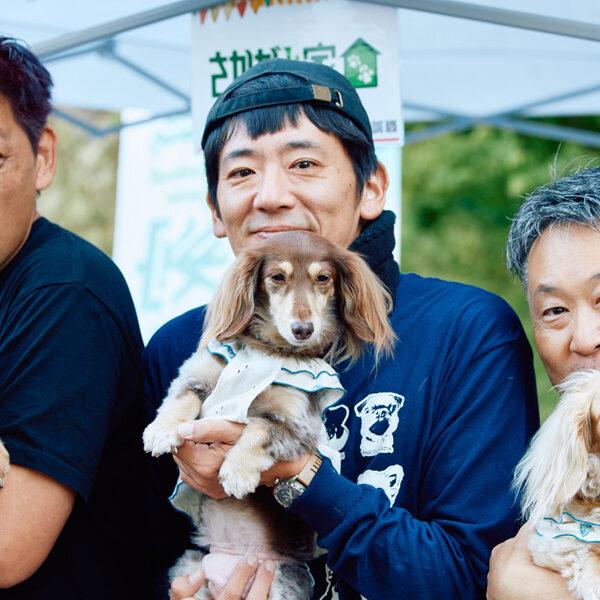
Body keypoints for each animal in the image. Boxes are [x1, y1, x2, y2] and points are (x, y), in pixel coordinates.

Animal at [144, 231, 396, 600]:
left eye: (323, 279)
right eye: (277, 277)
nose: (304, 329)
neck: (267, 352)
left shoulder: (296, 424)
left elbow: (258, 431)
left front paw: (237, 471)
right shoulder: (200, 376)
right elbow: (182, 399)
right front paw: (162, 431)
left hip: (278, 586)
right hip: (191, 569)